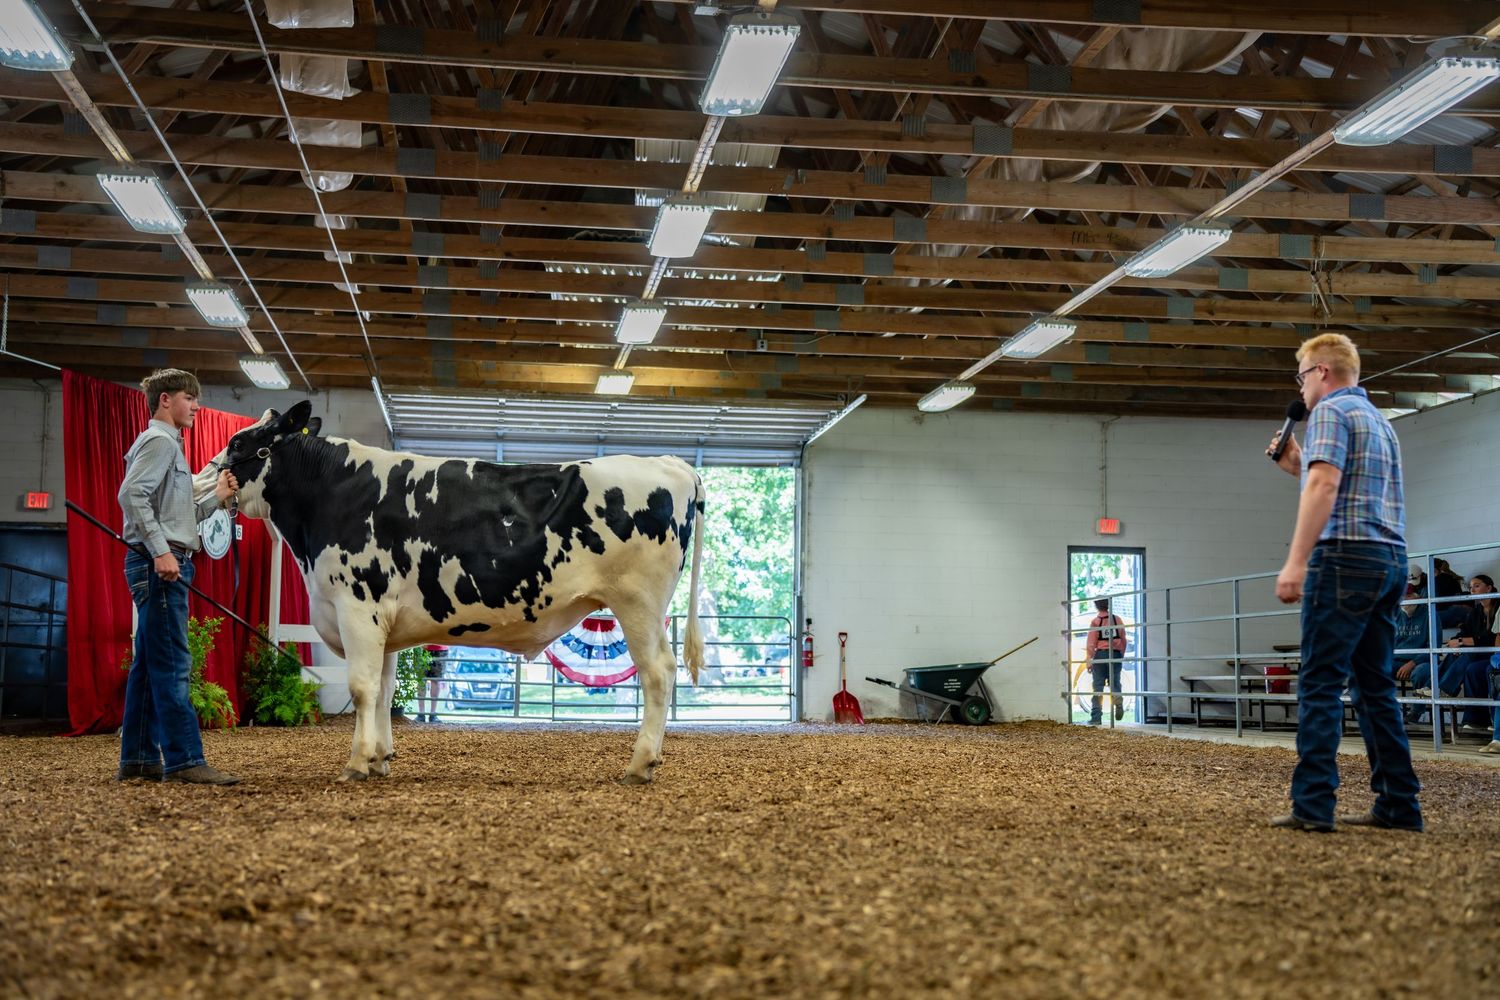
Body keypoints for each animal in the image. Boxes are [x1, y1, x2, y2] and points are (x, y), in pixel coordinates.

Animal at [215, 400, 705, 784]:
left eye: (238, 444)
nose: (211, 475)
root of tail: (670, 463)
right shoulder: (381, 622)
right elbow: (384, 689)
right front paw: (380, 758)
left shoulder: (357, 606)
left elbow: (361, 687)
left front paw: (355, 763)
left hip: (638, 604)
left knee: (659, 672)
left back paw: (640, 764)